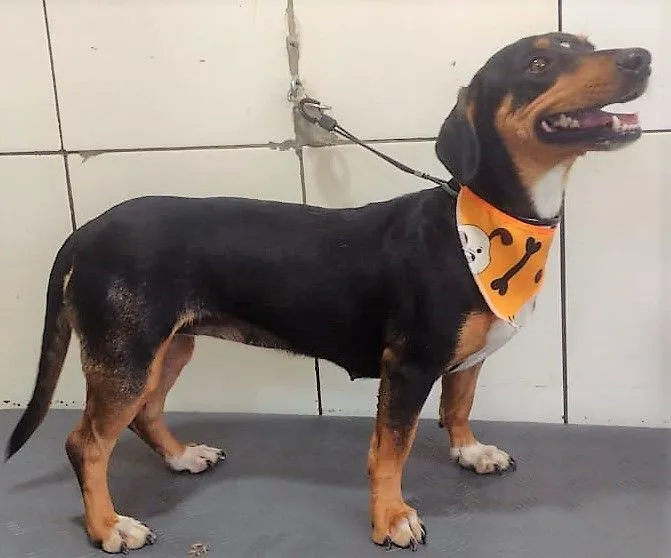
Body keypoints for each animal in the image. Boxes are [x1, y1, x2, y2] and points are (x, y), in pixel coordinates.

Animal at [5, 32, 650, 553]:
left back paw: (182, 457)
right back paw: (109, 527)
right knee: (86, 444)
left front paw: (469, 452)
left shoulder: (464, 358)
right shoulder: (409, 365)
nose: (641, 58)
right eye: (539, 63)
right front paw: (391, 518)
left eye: (586, 43)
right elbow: (390, 449)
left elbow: (458, 406)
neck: (488, 220)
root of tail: (87, 231)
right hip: (126, 353)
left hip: (166, 345)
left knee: (146, 413)